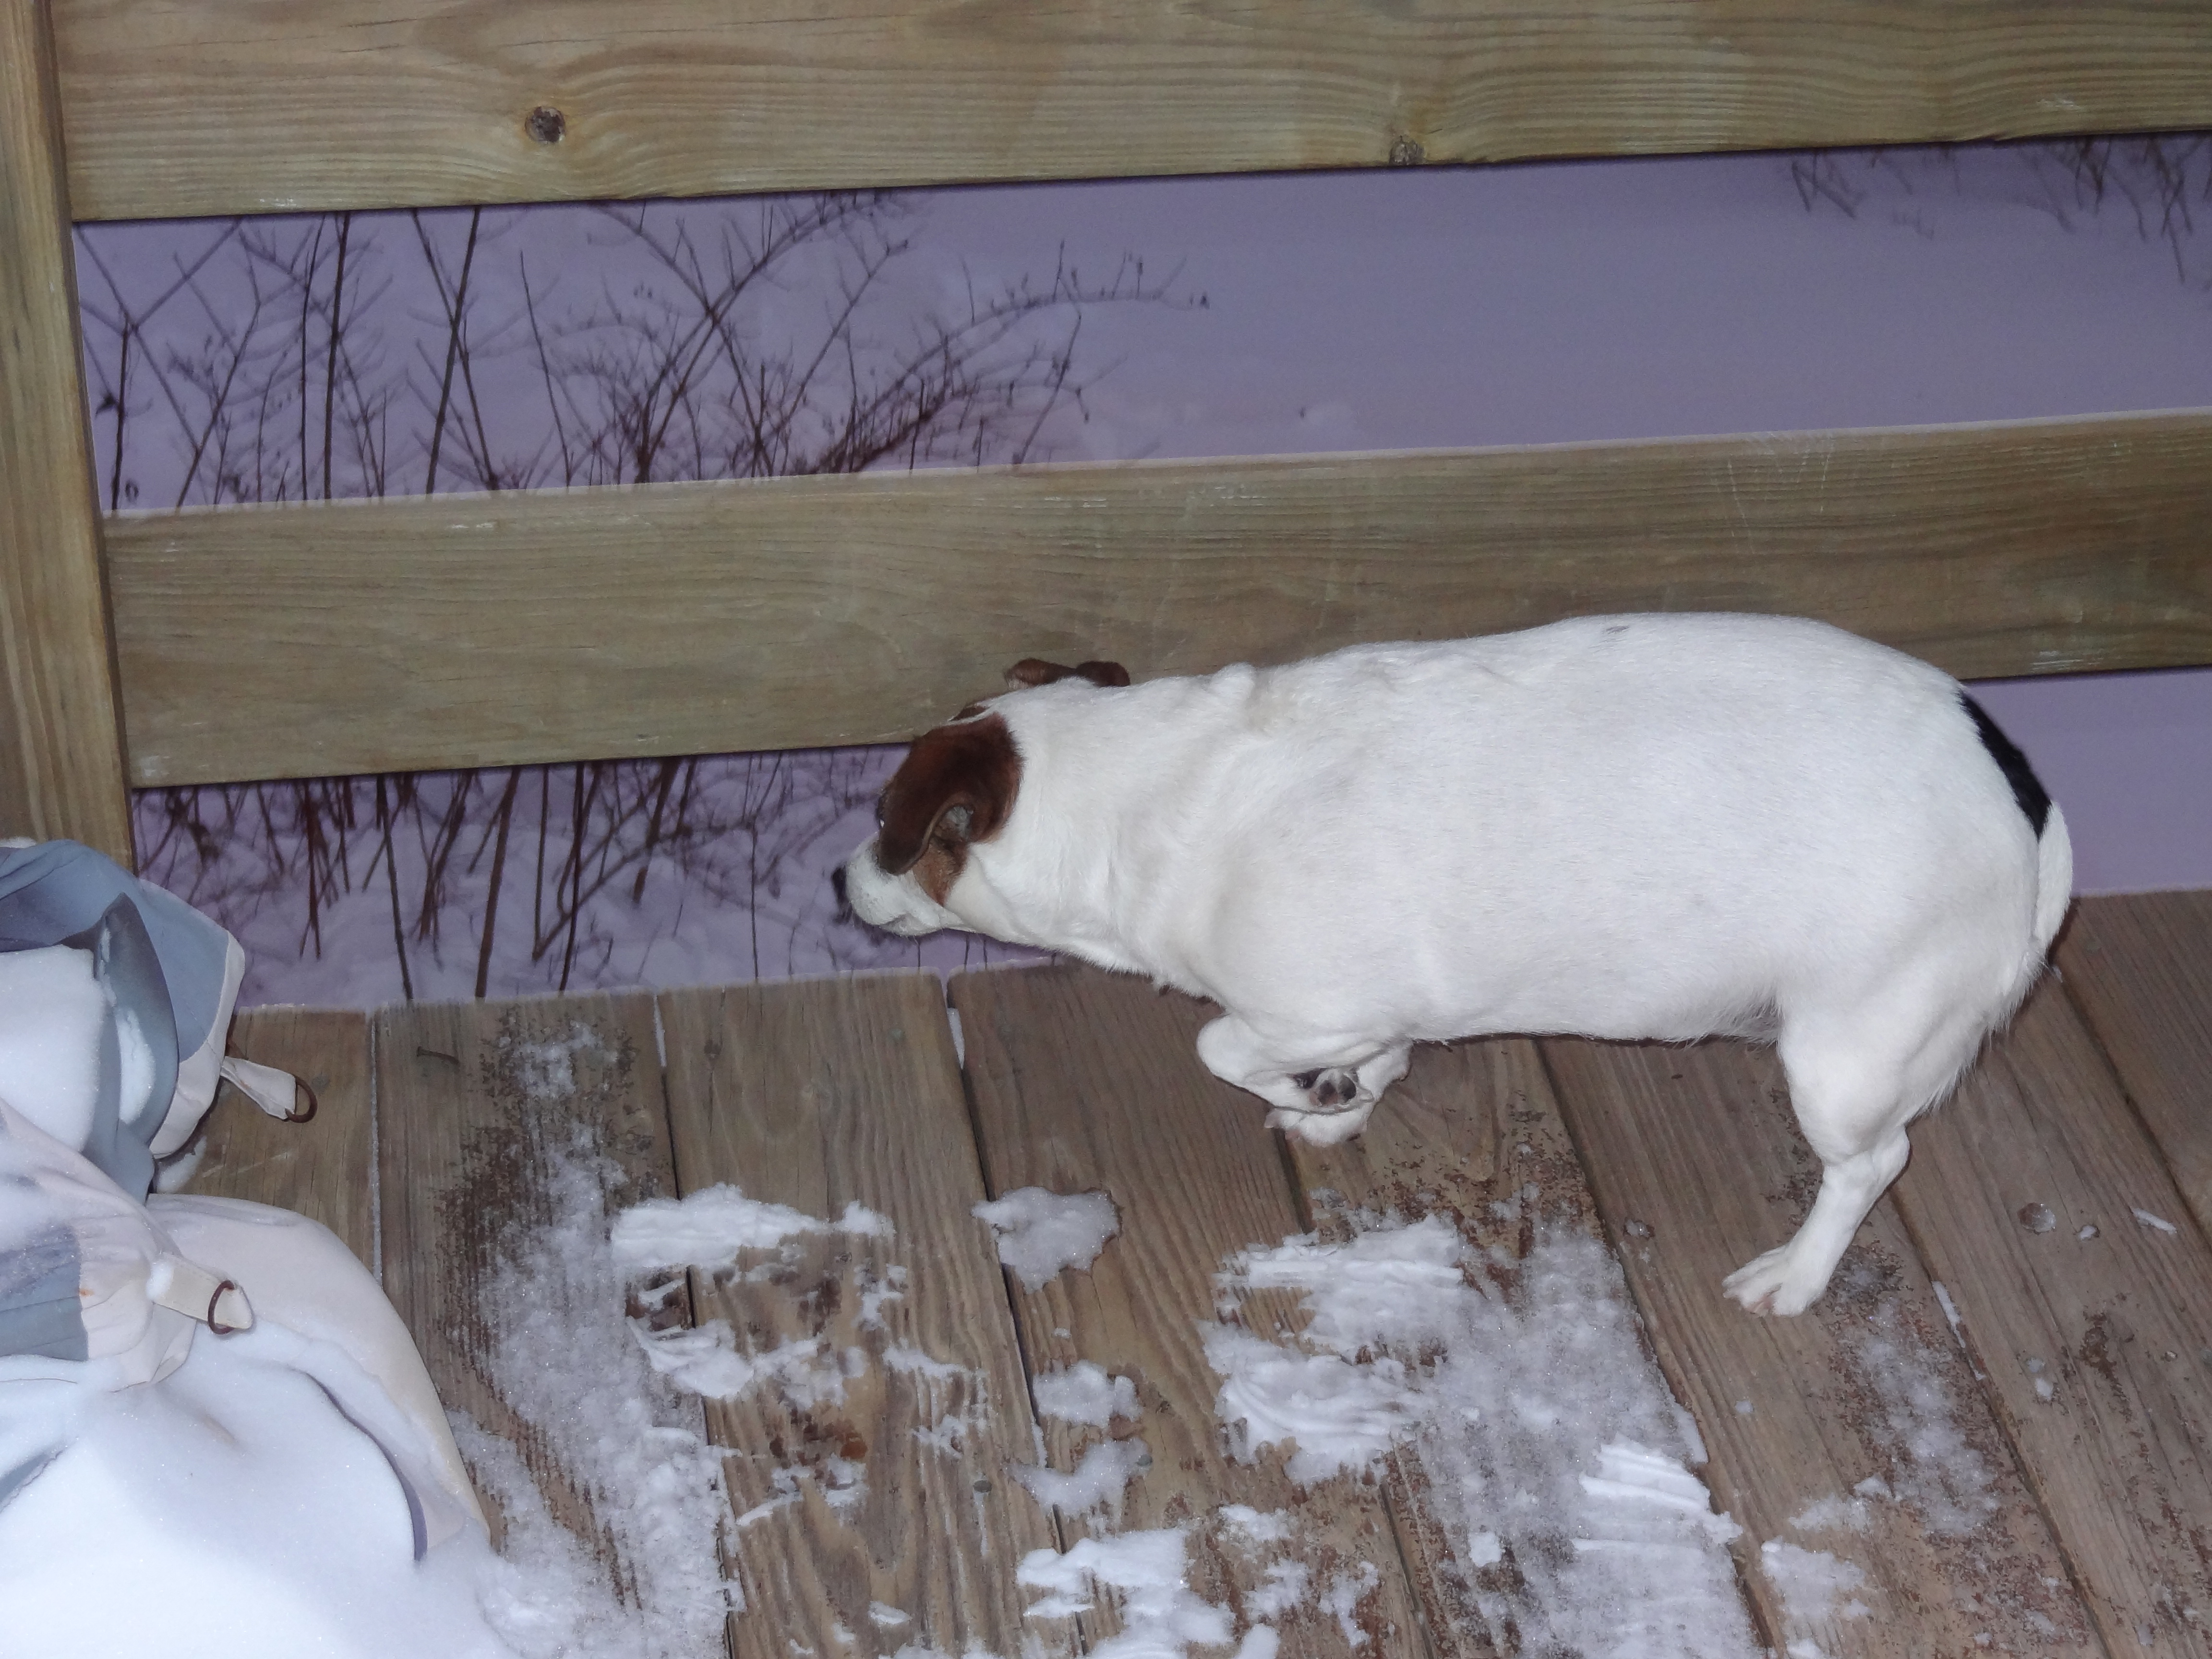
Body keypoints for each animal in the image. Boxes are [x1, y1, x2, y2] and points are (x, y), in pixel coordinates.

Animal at [839, 614, 2071, 1315]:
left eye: (886, 819)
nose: (837, 881)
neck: (1149, 789)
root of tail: (2022, 792)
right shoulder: (1368, 1003)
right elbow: (1373, 1052)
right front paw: (1344, 1096)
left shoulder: (1290, 1000)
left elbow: (1219, 1043)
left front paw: (1312, 1088)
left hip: (1844, 1057)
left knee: (1874, 1163)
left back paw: (1799, 1274)